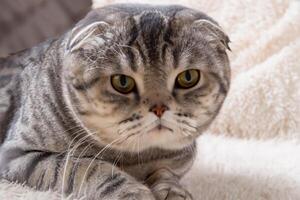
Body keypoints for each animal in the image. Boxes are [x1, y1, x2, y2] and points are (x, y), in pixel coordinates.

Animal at [0, 3, 231, 200]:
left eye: (188, 77)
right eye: (122, 82)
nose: (159, 108)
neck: (138, 158)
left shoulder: (179, 160)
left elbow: (167, 171)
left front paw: (172, 191)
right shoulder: (16, 155)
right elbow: (84, 166)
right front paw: (133, 192)